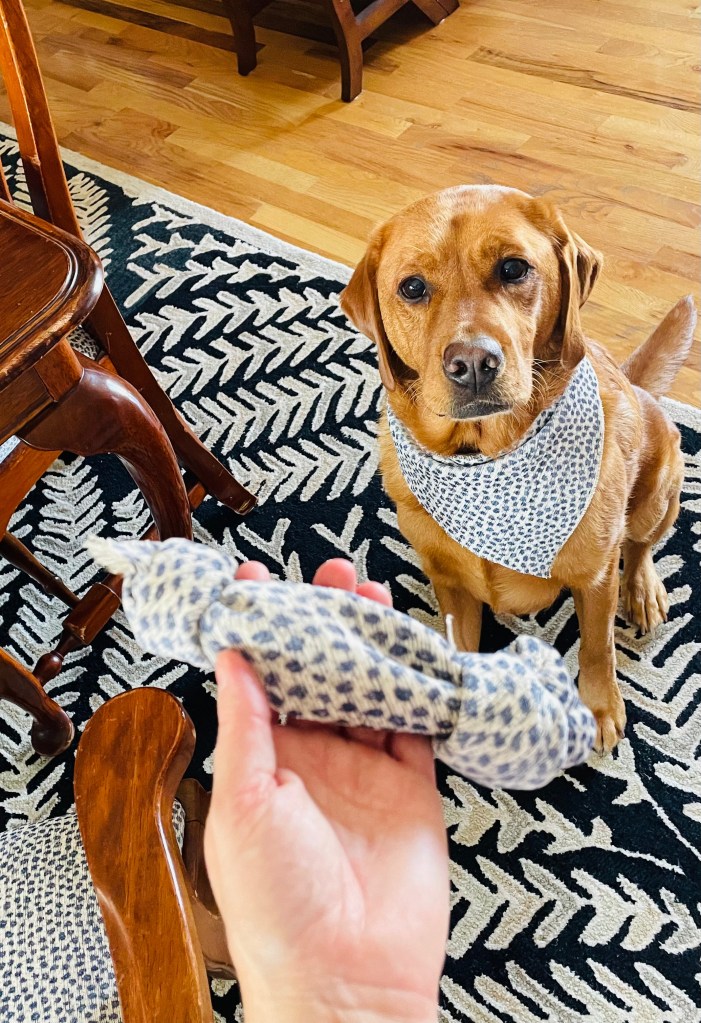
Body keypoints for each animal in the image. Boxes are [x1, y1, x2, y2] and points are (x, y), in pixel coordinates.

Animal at [340, 185, 696, 754]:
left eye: (513, 268)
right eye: (413, 287)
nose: (472, 363)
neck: (484, 458)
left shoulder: (596, 578)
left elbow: (597, 647)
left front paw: (598, 707)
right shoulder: (450, 586)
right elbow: (460, 649)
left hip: (657, 488)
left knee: (640, 545)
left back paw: (642, 589)